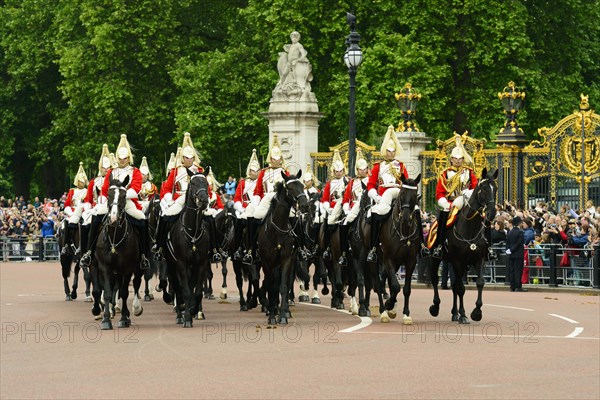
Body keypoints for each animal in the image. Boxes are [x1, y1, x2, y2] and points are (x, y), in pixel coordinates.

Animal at [95, 177, 145, 330]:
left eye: (124, 196)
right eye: (109, 195)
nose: (113, 219)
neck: (115, 237)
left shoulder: (127, 269)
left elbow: (124, 292)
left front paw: (123, 319)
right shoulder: (105, 267)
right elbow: (107, 292)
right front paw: (106, 320)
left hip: (138, 267)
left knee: (136, 283)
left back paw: (134, 310)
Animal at [164, 167, 211, 326]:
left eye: (206, 183)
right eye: (193, 183)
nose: (203, 200)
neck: (192, 231)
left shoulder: (201, 264)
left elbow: (196, 292)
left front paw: (193, 310)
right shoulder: (181, 264)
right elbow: (184, 290)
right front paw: (187, 317)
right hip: (171, 265)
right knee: (176, 286)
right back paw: (180, 314)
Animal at [256, 170, 310, 324]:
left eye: (302, 186)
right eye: (290, 188)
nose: (305, 205)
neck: (277, 230)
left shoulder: (286, 259)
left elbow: (283, 286)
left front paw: (282, 316)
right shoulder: (267, 262)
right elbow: (271, 287)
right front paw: (272, 317)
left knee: (285, 281)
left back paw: (284, 310)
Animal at [378, 173, 424, 324]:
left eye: (415, 195)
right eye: (402, 193)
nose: (405, 217)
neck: (403, 231)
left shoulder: (410, 262)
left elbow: (406, 289)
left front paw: (406, 314)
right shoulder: (388, 259)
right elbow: (396, 285)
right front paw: (389, 305)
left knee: (383, 280)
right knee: (377, 282)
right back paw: (383, 311)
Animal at [428, 167, 500, 324]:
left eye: (495, 188)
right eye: (483, 188)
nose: (491, 213)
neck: (469, 228)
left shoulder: (478, 260)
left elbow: (479, 282)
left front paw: (476, 312)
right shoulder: (457, 261)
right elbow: (461, 288)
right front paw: (464, 315)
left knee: (454, 285)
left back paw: (454, 314)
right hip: (435, 259)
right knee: (435, 280)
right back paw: (436, 307)